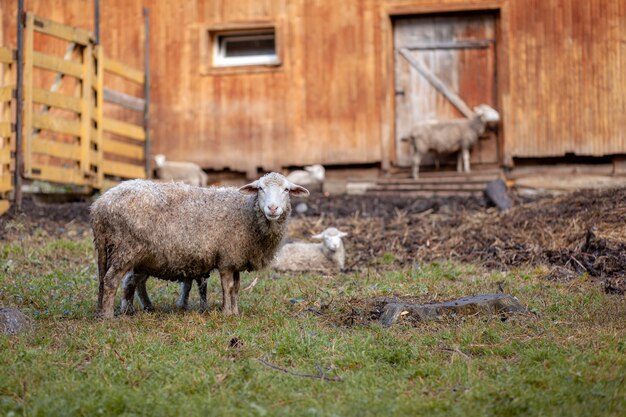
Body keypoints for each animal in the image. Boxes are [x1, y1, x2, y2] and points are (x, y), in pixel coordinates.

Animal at [90, 171, 310, 316]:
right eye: (260, 189)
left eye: (286, 190)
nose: (272, 208)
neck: (247, 213)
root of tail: (99, 206)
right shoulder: (226, 259)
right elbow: (228, 287)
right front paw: (227, 313)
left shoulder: (234, 257)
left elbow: (236, 288)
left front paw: (235, 312)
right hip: (126, 248)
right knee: (110, 281)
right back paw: (109, 317)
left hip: (140, 255)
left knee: (131, 282)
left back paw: (134, 309)